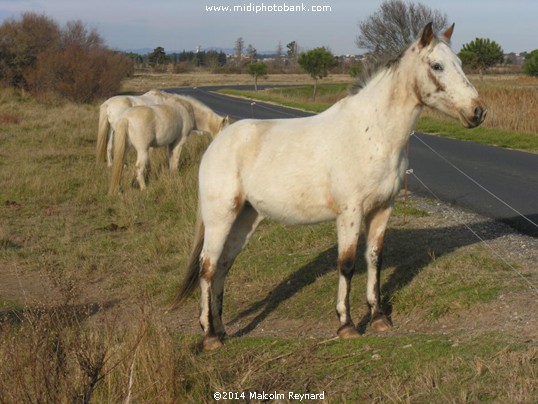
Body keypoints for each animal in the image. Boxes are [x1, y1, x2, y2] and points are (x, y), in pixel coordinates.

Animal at [170, 23, 484, 350]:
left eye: (460, 63)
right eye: (437, 66)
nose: (477, 112)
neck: (373, 134)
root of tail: (217, 143)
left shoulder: (382, 209)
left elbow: (374, 259)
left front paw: (378, 318)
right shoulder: (350, 212)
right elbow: (347, 264)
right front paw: (346, 325)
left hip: (245, 218)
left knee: (222, 266)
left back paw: (221, 330)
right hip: (220, 217)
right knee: (207, 267)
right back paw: (209, 336)